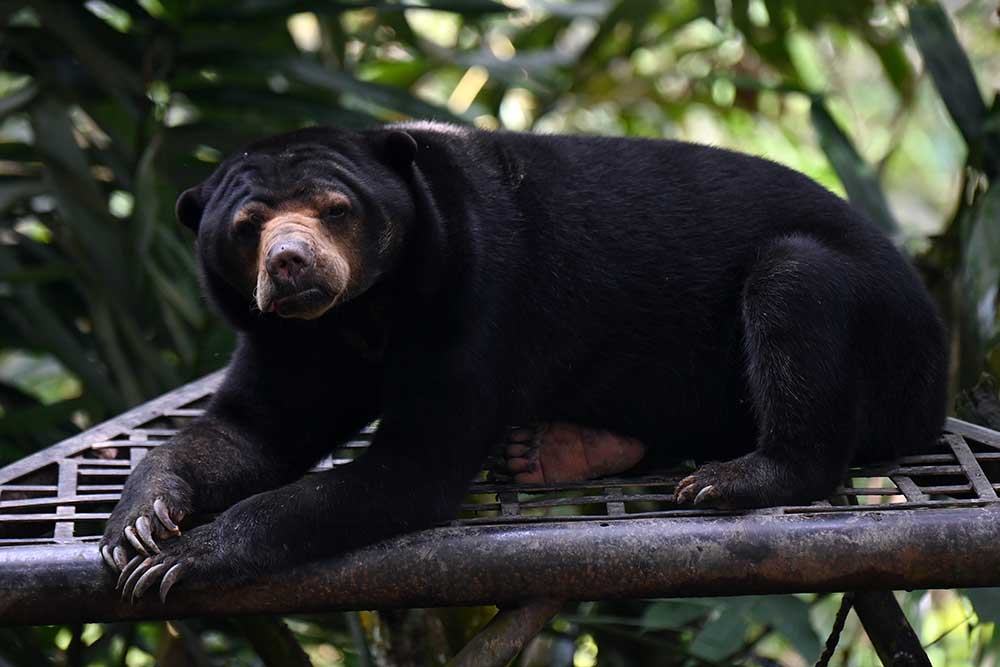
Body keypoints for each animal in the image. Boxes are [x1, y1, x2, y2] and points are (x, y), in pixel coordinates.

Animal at [99, 122, 944, 604]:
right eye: (247, 227)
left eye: (337, 209)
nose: (292, 265)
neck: (358, 316)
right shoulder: (289, 339)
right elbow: (249, 431)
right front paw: (139, 523)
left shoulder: (476, 294)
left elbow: (415, 466)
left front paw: (187, 557)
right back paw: (556, 449)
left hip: (879, 328)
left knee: (794, 282)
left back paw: (732, 477)